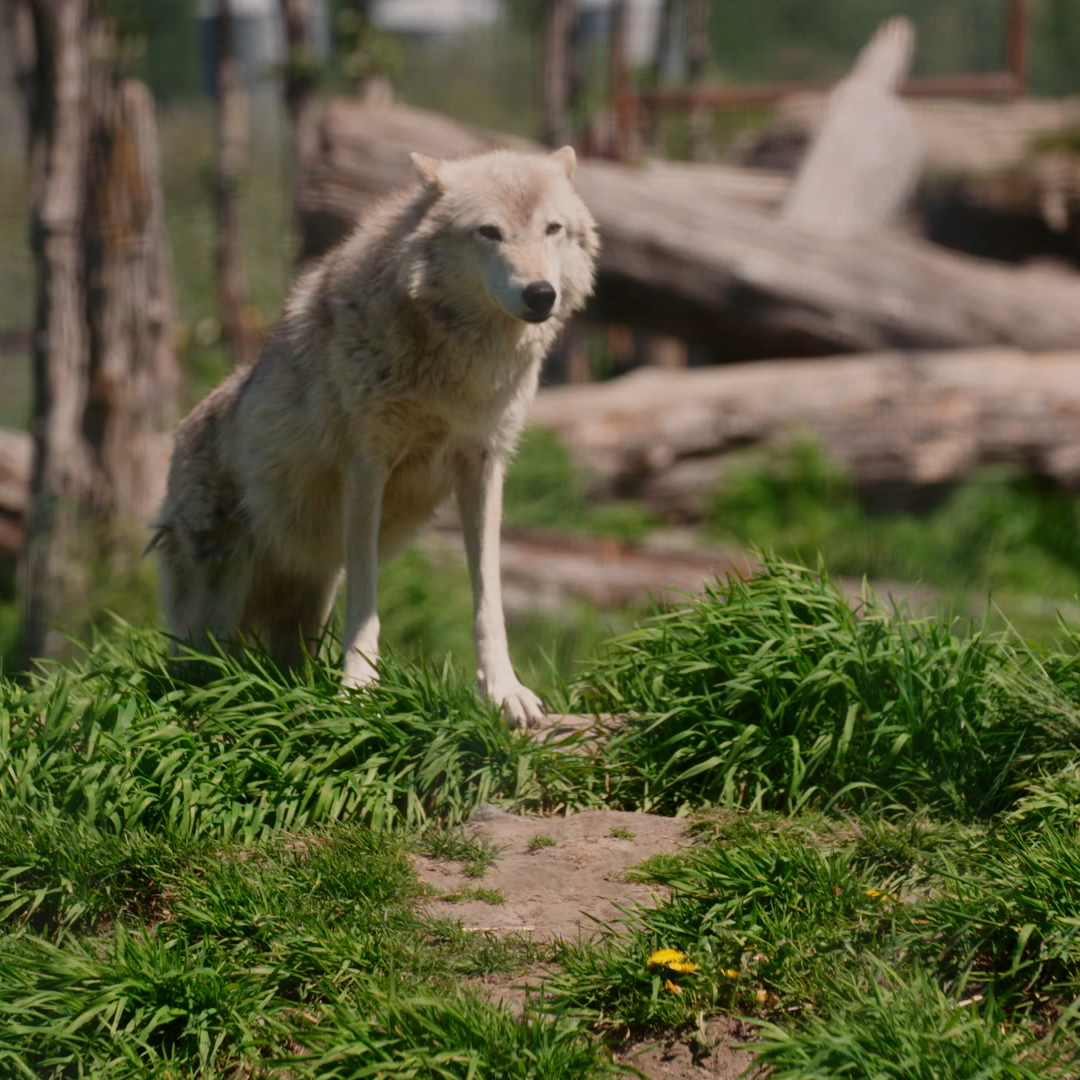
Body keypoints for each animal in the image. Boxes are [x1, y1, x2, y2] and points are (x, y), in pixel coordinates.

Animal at [151, 146, 599, 727]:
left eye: (553, 229)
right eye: (489, 232)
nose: (541, 294)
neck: (455, 364)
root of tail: (178, 435)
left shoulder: (483, 466)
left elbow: (489, 599)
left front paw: (504, 693)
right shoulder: (367, 467)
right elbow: (365, 600)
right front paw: (360, 690)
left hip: (306, 595)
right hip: (215, 614)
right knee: (195, 670)